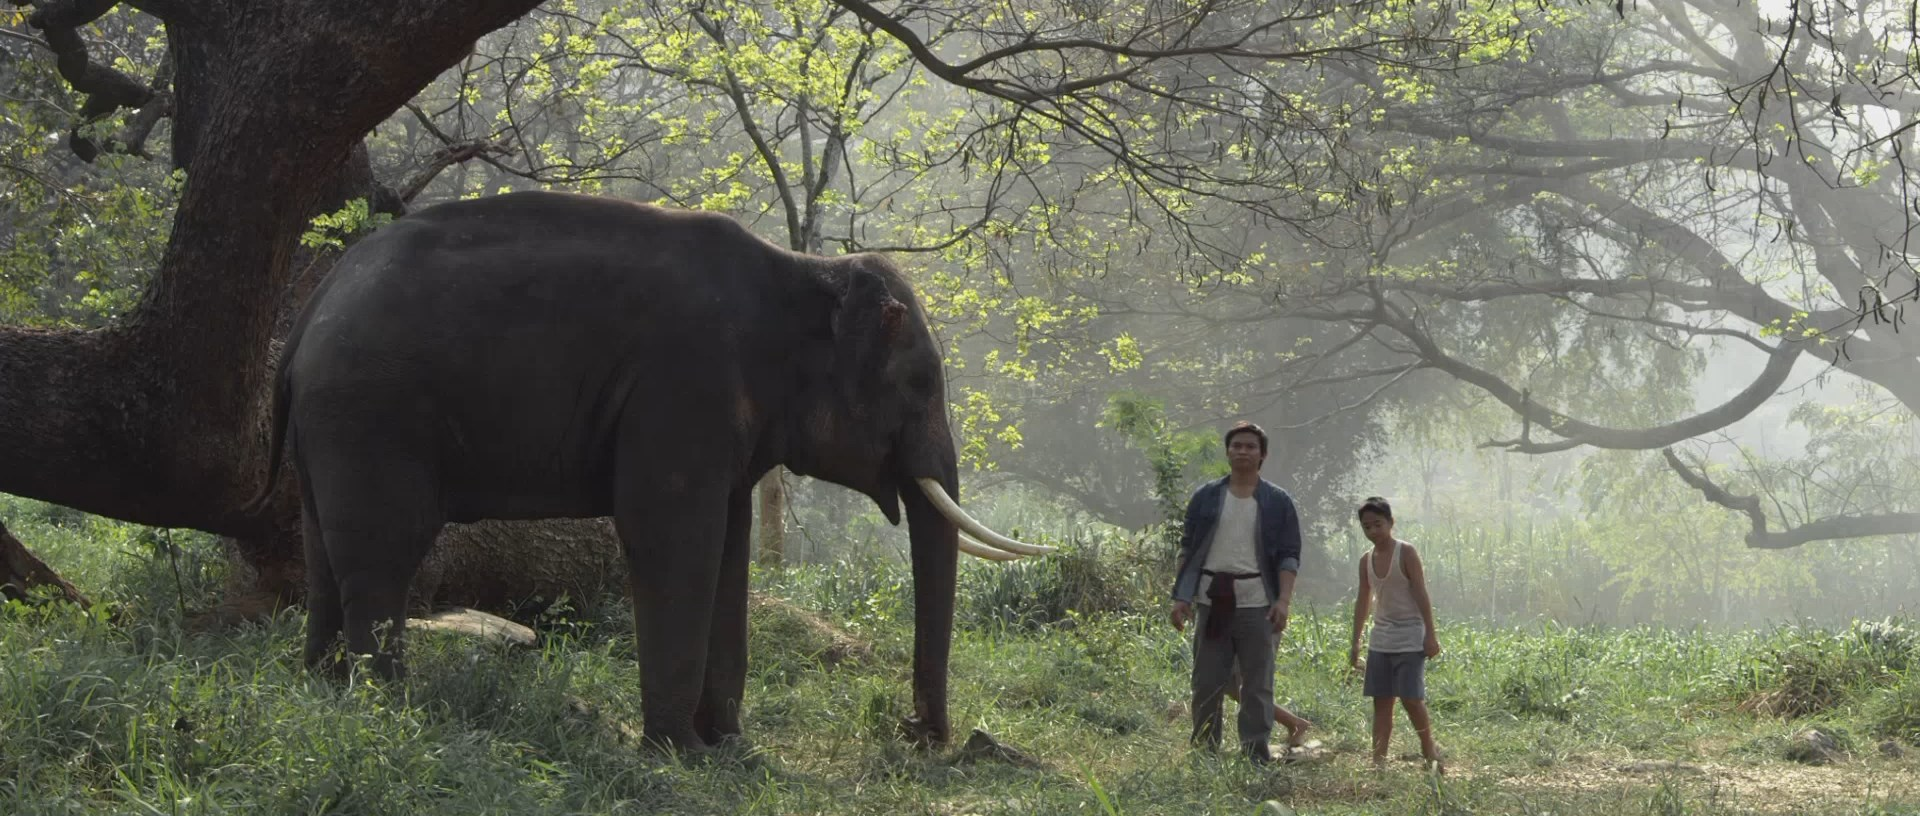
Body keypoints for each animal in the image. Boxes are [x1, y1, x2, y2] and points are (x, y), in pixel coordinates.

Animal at [249, 189, 1049, 752]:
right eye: (919, 382)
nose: (915, 733)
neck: (799, 269)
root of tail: (309, 316)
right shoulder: (684, 385)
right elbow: (670, 534)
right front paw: (679, 752)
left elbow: (728, 546)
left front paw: (730, 747)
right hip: (372, 415)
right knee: (382, 556)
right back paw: (387, 705)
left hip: (331, 429)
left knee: (324, 552)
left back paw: (322, 688)